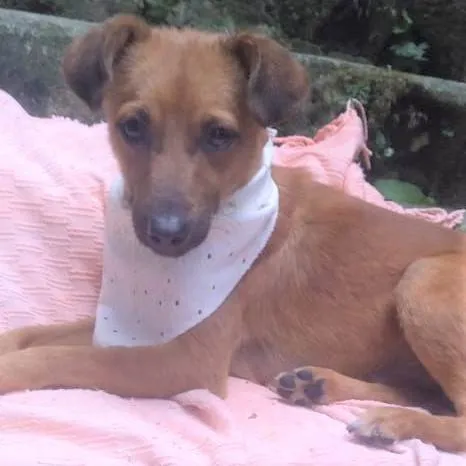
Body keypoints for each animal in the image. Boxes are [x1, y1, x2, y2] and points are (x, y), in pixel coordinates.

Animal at [0, 14, 465, 453]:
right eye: (132, 126)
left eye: (219, 135)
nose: (166, 233)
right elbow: (33, 335)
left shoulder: (186, 360)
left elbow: (55, 357)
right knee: (426, 396)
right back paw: (318, 385)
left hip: (423, 280)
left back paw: (391, 421)